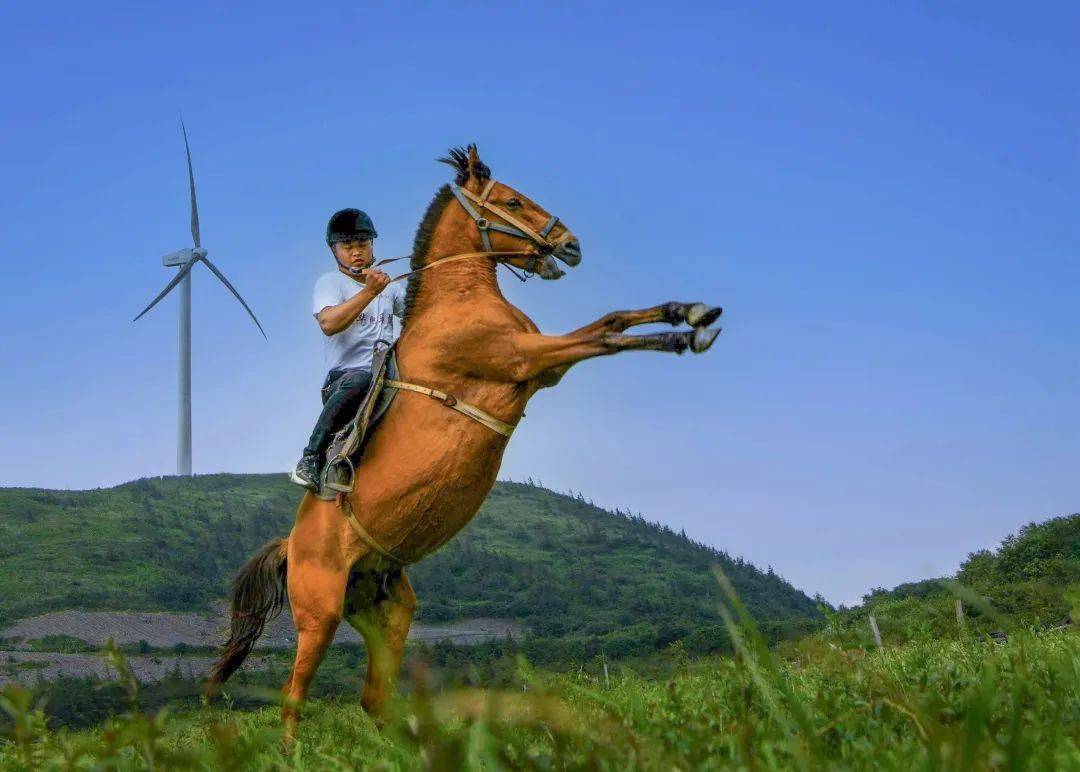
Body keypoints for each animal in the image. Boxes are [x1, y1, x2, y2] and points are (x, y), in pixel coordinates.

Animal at [205, 144, 721, 738]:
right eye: (512, 201)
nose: (572, 245)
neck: (459, 301)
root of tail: (291, 544)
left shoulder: (543, 366)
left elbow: (611, 321)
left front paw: (690, 312)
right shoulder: (526, 357)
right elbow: (606, 335)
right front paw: (687, 335)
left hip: (387, 614)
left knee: (374, 699)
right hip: (320, 615)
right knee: (292, 701)